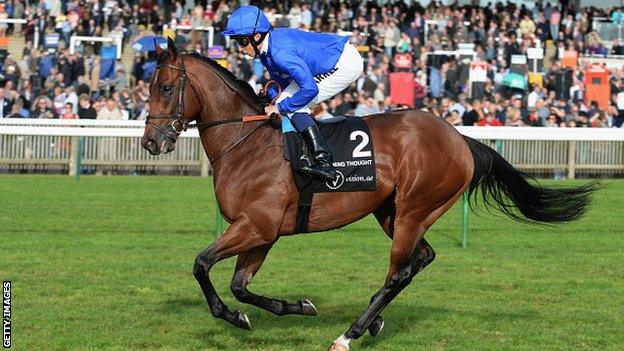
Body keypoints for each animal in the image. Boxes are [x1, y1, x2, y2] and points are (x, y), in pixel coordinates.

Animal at [140, 37, 596, 350]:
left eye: (166, 88)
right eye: (148, 87)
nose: (150, 142)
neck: (246, 142)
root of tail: (459, 138)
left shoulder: (257, 225)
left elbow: (201, 264)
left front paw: (234, 316)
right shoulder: (261, 232)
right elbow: (239, 285)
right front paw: (294, 307)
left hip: (414, 208)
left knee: (399, 270)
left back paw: (350, 333)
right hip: (392, 212)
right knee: (421, 259)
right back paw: (373, 319)